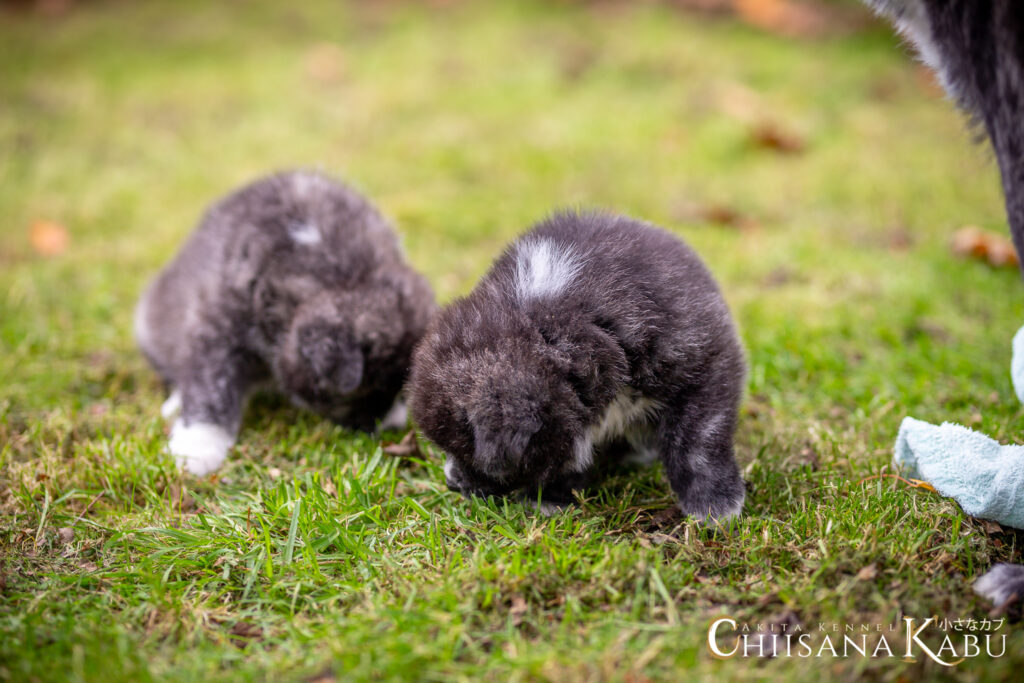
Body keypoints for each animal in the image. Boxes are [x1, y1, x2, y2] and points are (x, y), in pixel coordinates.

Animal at [405, 210, 745, 520]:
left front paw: (714, 505)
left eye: (465, 450)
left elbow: (697, 443)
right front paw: (550, 498)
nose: (451, 483)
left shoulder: (704, 368)